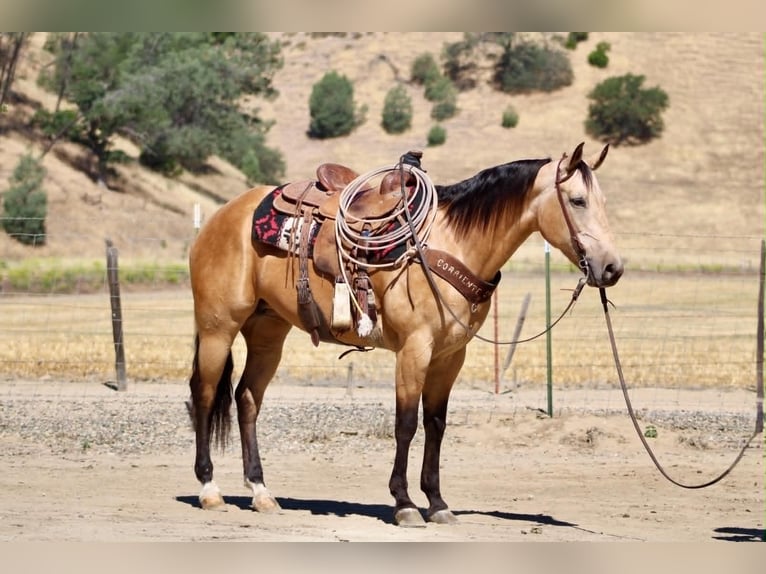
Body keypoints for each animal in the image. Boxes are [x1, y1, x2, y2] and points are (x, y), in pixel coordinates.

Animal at [187, 142, 623, 526]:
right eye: (578, 201)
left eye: (602, 202)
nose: (612, 268)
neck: (450, 243)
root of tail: (221, 216)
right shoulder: (415, 348)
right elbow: (407, 424)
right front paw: (404, 503)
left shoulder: (450, 356)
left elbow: (436, 424)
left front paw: (438, 502)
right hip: (217, 327)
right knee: (205, 396)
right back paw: (210, 489)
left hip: (267, 332)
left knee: (247, 399)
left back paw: (261, 492)